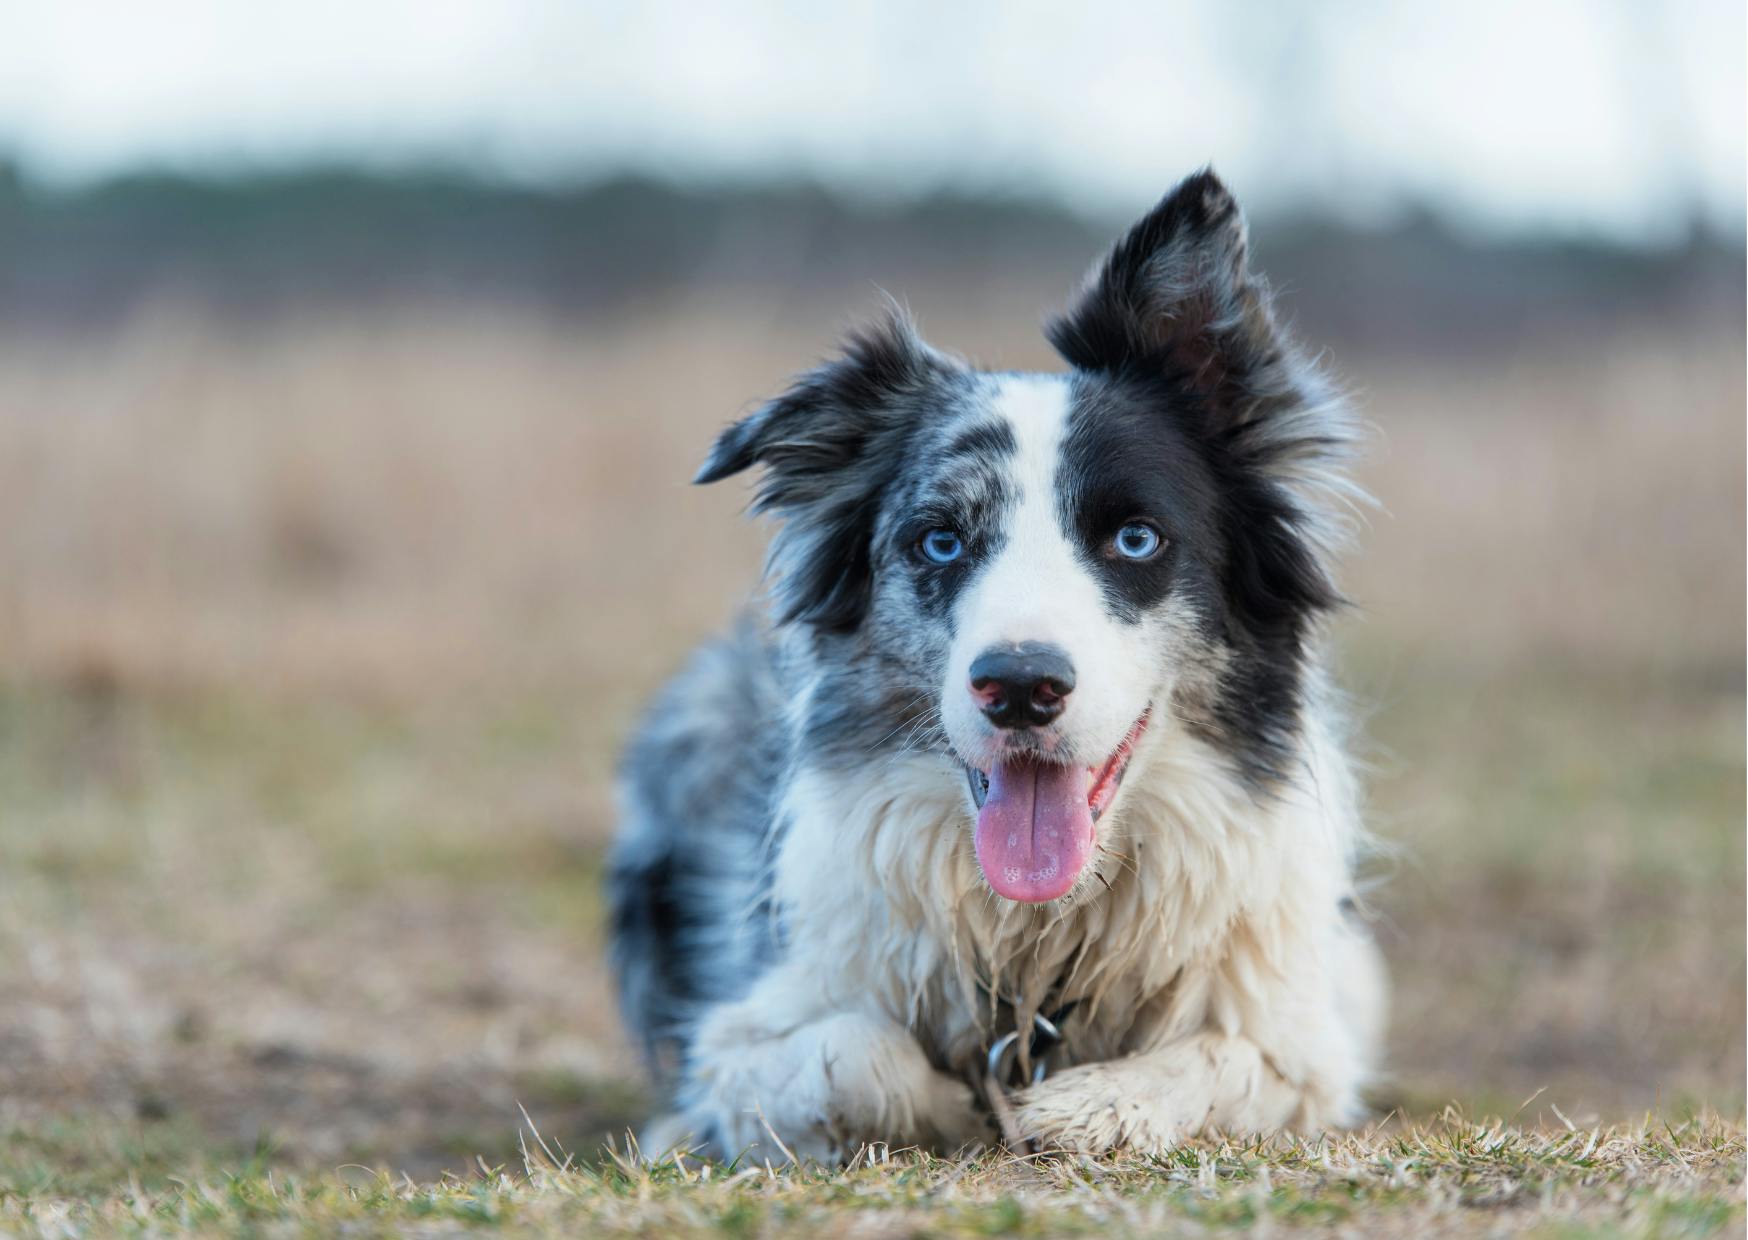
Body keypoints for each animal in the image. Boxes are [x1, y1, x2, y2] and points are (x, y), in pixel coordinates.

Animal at [608, 169, 1384, 1154]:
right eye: (940, 541)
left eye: (1136, 538)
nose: (1019, 687)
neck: (1036, 940)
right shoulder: (750, 1023)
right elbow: (852, 1056)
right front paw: (958, 1106)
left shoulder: (1305, 1040)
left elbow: (1218, 1062)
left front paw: (1087, 1105)